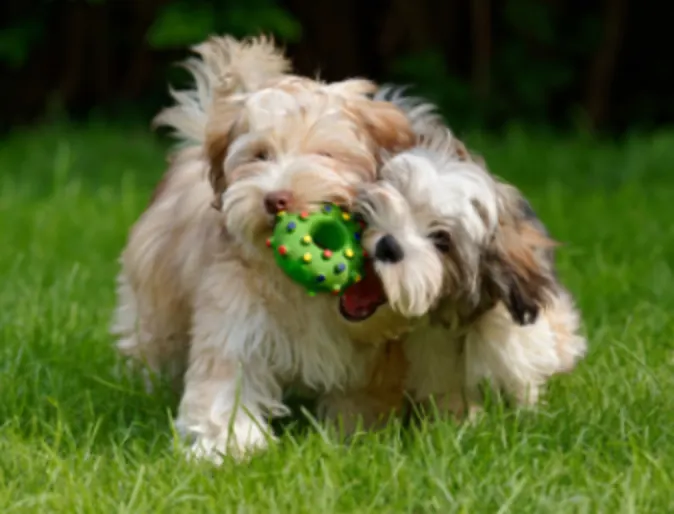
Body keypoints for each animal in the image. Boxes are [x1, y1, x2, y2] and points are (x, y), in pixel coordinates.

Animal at [110, 36, 414, 460]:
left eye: (326, 155)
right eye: (259, 156)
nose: (276, 199)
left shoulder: (367, 353)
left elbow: (360, 395)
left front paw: (354, 439)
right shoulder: (234, 314)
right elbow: (227, 379)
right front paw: (228, 445)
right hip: (156, 297)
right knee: (149, 340)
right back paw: (139, 390)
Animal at [350, 92, 584, 418]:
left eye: (442, 241)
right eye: (399, 199)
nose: (388, 245)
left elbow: (521, 380)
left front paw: (528, 415)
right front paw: (463, 420)